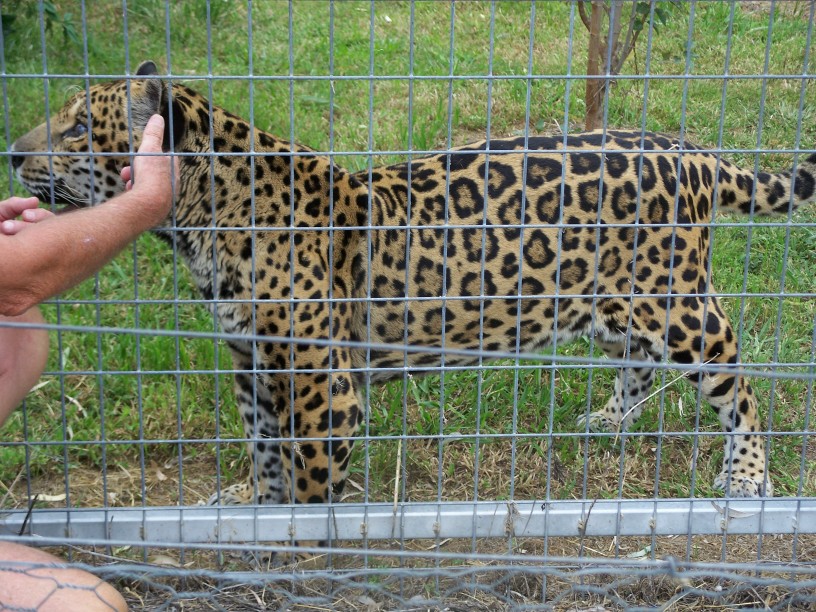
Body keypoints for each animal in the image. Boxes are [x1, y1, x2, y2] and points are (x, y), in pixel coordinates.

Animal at [11, 61, 816, 518]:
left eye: (78, 128)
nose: (13, 154)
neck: (203, 220)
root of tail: (688, 149)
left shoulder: (323, 385)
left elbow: (308, 476)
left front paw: (300, 548)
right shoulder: (252, 364)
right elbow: (264, 452)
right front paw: (254, 513)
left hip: (680, 308)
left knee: (740, 383)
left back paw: (747, 478)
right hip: (611, 303)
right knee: (637, 364)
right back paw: (608, 422)